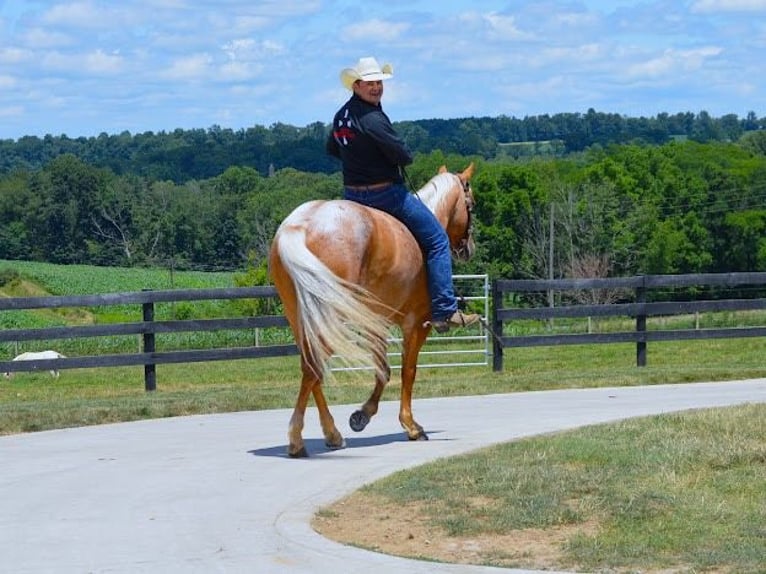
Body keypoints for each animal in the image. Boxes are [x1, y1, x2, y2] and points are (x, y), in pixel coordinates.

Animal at [268, 163, 474, 460]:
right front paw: (411, 426)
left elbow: (383, 370)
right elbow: (408, 370)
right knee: (313, 368)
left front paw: (362, 415)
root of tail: (301, 224)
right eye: (471, 205)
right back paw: (297, 440)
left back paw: (331, 434)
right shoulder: (416, 322)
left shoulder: (376, 321)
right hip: (331, 316)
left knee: (312, 369)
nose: (468, 249)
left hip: (302, 317)